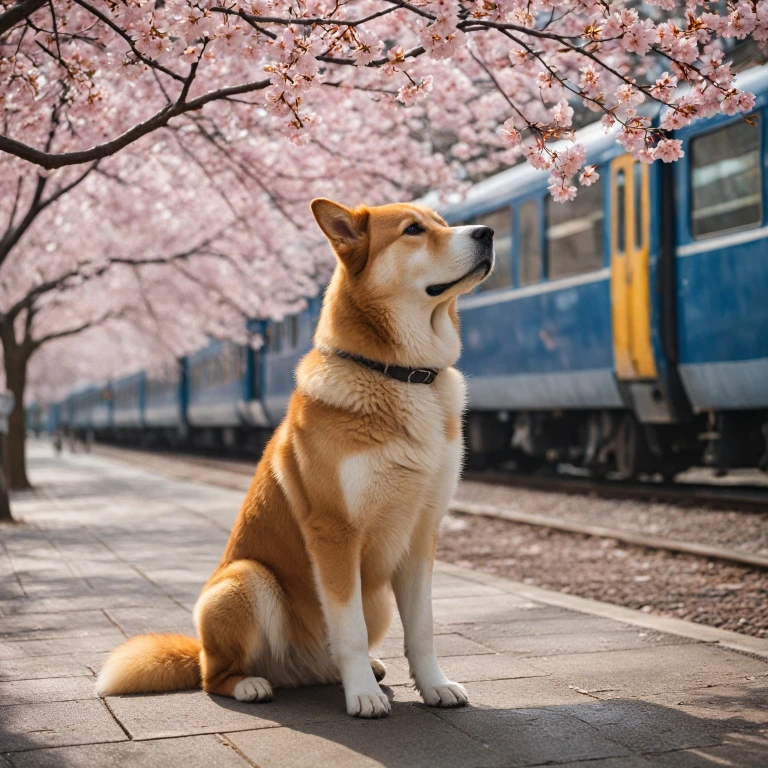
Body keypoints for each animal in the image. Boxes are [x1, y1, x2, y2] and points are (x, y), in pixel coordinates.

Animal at [96, 200, 496, 720]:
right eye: (413, 230)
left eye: (443, 223)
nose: (487, 232)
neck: (400, 375)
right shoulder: (334, 533)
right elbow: (348, 628)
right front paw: (362, 697)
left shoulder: (421, 532)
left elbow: (423, 628)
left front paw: (435, 686)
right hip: (244, 580)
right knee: (214, 676)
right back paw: (255, 684)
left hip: (376, 599)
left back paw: (363, 670)